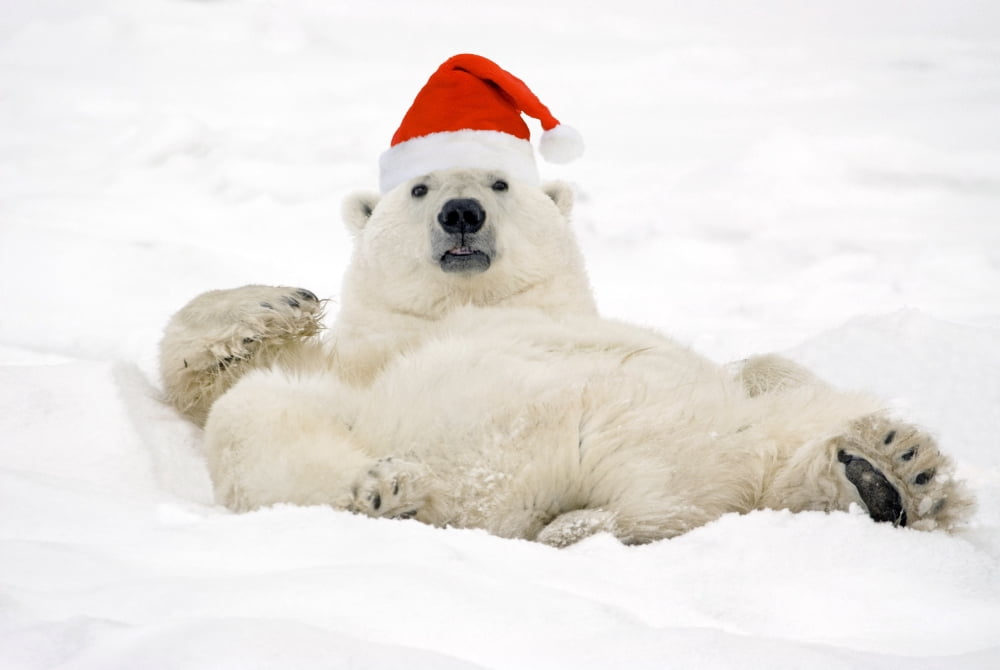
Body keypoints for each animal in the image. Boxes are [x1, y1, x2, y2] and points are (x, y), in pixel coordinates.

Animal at [160, 167, 973, 547]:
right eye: (419, 186)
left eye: (499, 181)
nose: (461, 212)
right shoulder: (360, 364)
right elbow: (221, 388)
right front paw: (275, 304)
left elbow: (764, 366)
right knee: (259, 427)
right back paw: (388, 489)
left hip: (737, 442)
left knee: (790, 439)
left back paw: (895, 469)